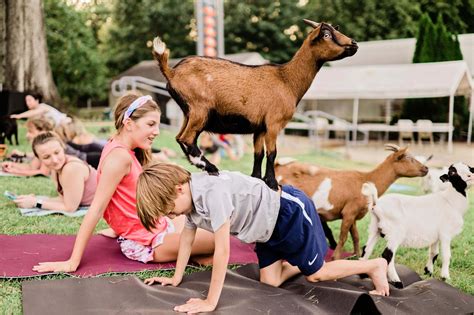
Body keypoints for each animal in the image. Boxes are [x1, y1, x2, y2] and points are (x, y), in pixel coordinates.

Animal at [150, 20, 358, 190]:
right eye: (326, 34)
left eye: (336, 29)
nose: (354, 44)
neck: (287, 79)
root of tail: (172, 72)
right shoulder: (274, 123)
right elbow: (272, 153)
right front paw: (273, 183)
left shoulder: (260, 128)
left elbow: (258, 153)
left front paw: (257, 178)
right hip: (200, 109)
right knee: (187, 138)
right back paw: (211, 167)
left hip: (189, 112)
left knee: (180, 137)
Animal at [274, 144, 430, 260]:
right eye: (409, 158)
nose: (426, 168)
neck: (366, 180)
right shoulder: (348, 212)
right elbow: (343, 236)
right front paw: (336, 257)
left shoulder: (354, 214)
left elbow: (355, 236)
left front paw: (357, 255)